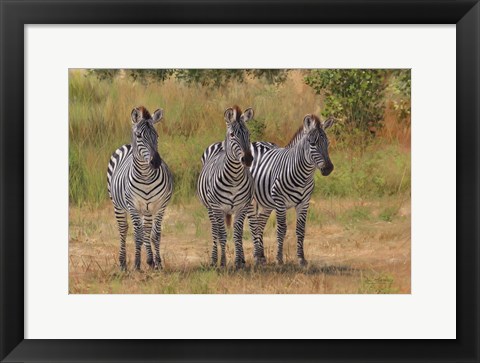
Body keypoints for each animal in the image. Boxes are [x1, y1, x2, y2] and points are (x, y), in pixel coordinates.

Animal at [106, 105, 172, 270]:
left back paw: (149, 260)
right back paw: (123, 263)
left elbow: (154, 234)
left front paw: (156, 262)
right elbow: (137, 235)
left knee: (146, 230)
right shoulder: (133, 206)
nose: (156, 162)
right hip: (118, 205)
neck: (146, 177)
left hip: (147, 209)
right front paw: (136, 264)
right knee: (124, 230)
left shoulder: (160, 206)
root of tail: (128, 146)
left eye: (157, 136)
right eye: (139, 135)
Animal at [197, 106, 255, 268]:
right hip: (211, 209)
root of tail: (219, 144)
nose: (248, 159)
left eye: (248, 133)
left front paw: (239, 262)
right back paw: (213, 260)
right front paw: (222, 262)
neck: (234, 178)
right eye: (232, 134)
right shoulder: (217, 207)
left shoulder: (242, 207)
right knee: (215, 231)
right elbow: (222, 234)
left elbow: (237, 234)